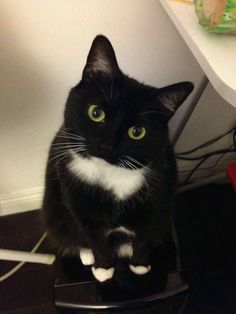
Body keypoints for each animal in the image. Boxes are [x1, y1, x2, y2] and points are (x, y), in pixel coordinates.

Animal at [42, 35, 194, 284]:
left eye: (137, 132)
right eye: (96, 113)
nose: (106, 146)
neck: (110, 175)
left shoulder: (156, 202)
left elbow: (144, 236)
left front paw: (140, 264)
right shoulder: (79, 204)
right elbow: (94, 238)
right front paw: (103, 267)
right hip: (54, 209)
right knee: (69, 233)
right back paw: (86, 254)